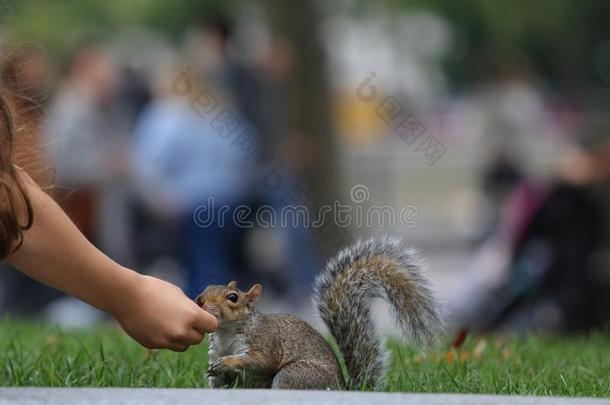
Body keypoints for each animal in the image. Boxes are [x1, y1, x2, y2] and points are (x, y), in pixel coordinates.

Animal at [197, 237, 440, 388]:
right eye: (206, 288)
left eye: (233, 297)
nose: (199, 301)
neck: (226, 333)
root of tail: (343, 389)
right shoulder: (215, 351)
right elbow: (218, 382)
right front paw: (215, 370)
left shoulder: (264, 341)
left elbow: (261, 361)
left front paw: (228, 362)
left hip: (294, 375)